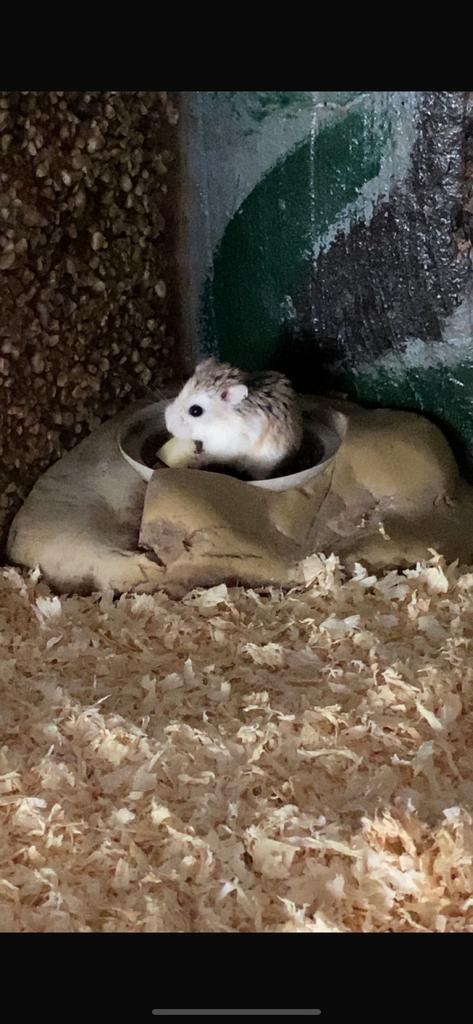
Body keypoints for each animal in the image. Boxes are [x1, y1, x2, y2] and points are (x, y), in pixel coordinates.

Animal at [164, 357, 303, 480]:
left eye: (195, 411)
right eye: (180, 393)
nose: (168, 427)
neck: (217, 422)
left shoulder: (224, 447)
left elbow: (210, 455)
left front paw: (195, 460)